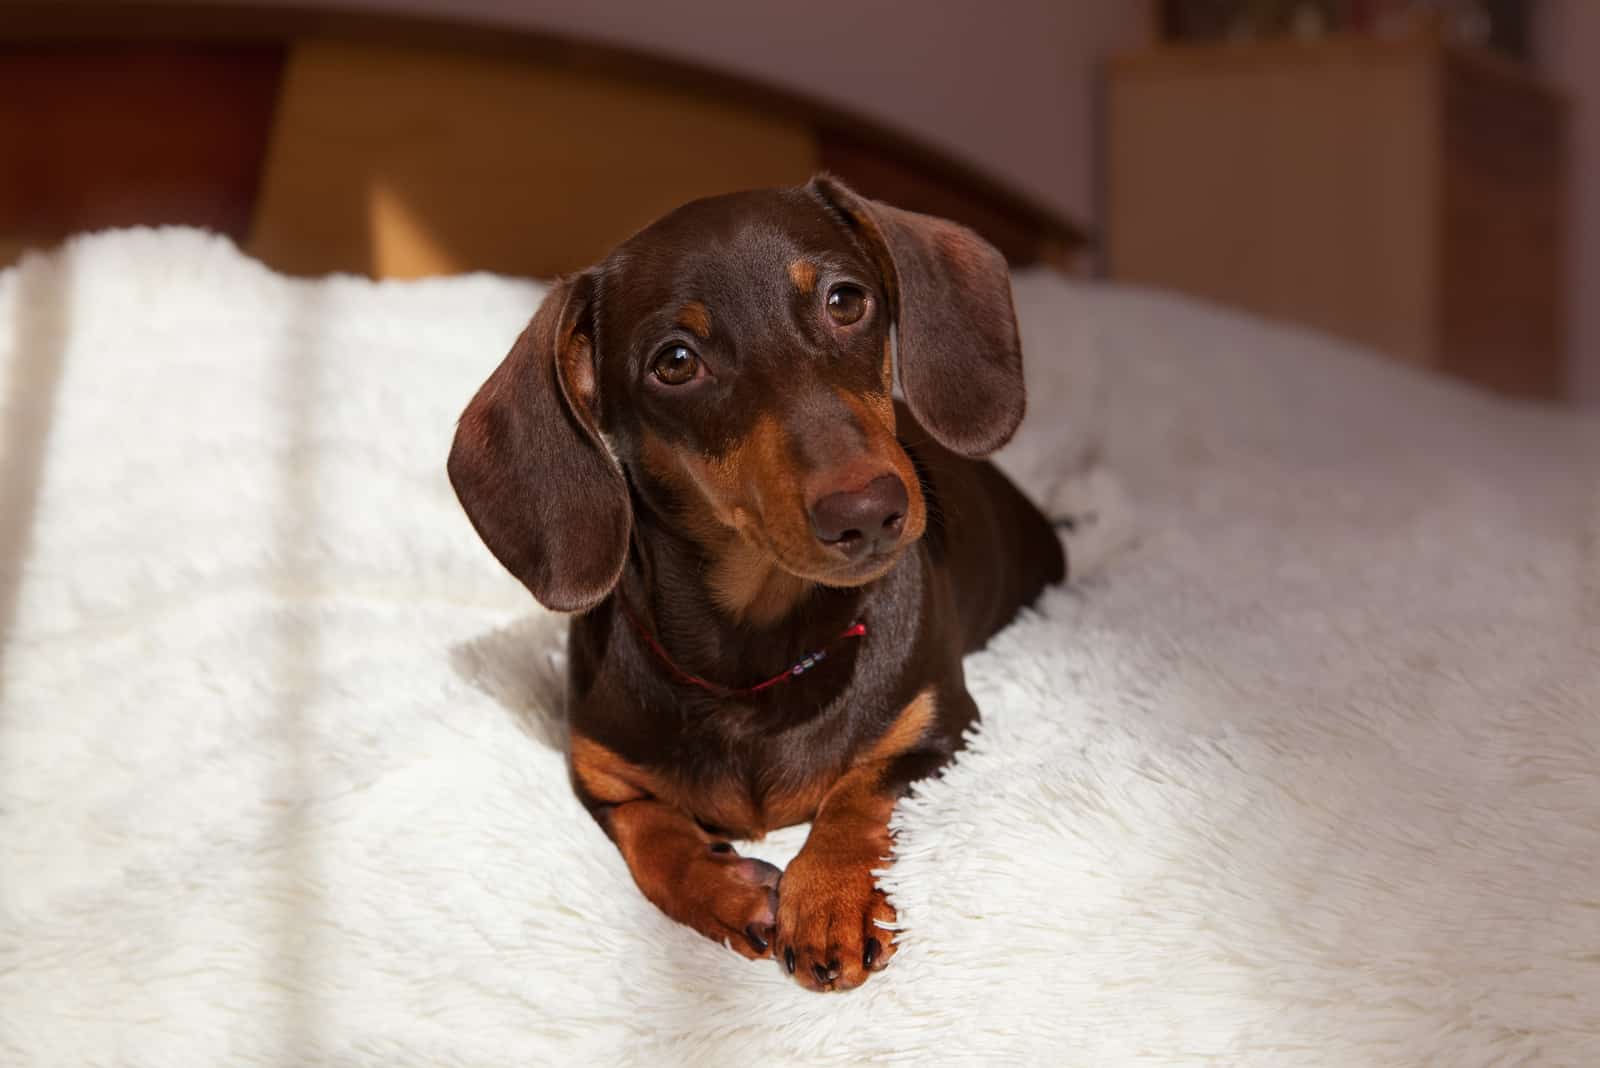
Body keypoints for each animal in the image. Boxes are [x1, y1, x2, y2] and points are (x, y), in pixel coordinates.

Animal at [448, 177, 1062, 991]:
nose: (869, 512)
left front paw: (828, 901)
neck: (758, 661)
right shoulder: (601, 777)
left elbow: (858, 791)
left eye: (845, 300)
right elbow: (655, 834)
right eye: (676, 361)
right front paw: (728, 890)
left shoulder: (940, 729)